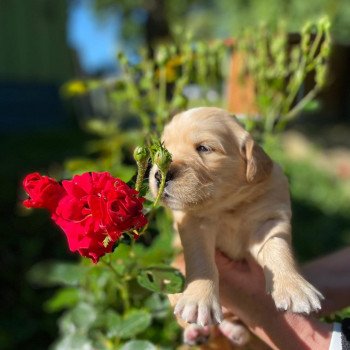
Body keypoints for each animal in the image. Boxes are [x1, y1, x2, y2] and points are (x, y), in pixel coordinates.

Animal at [148, 106, 322, 344]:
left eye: (204, 148)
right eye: (162, 151)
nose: (159, 174)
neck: (228, 206)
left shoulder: (270, 219)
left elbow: (278, 249)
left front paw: (295, 288)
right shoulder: (193, 224)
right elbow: (201, 260)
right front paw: (198, 301)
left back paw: (236, 332)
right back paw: (197, 332)